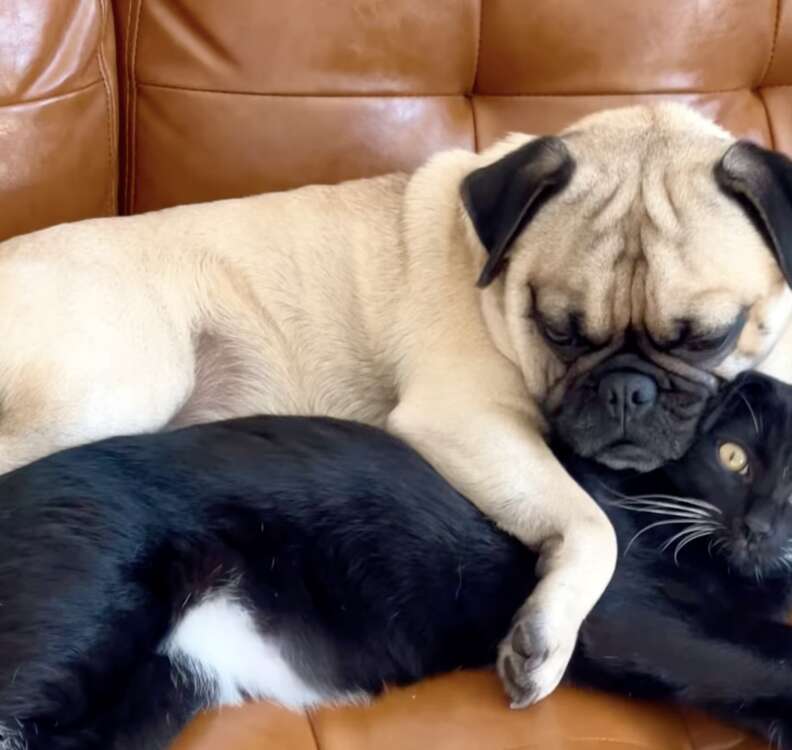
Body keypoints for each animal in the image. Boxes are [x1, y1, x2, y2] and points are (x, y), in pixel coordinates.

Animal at [0, 374, 788, 748]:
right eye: (734, 457)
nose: (765, 528)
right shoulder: (632, 611)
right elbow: (761, 652)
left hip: (162, 684)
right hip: (90, 602)